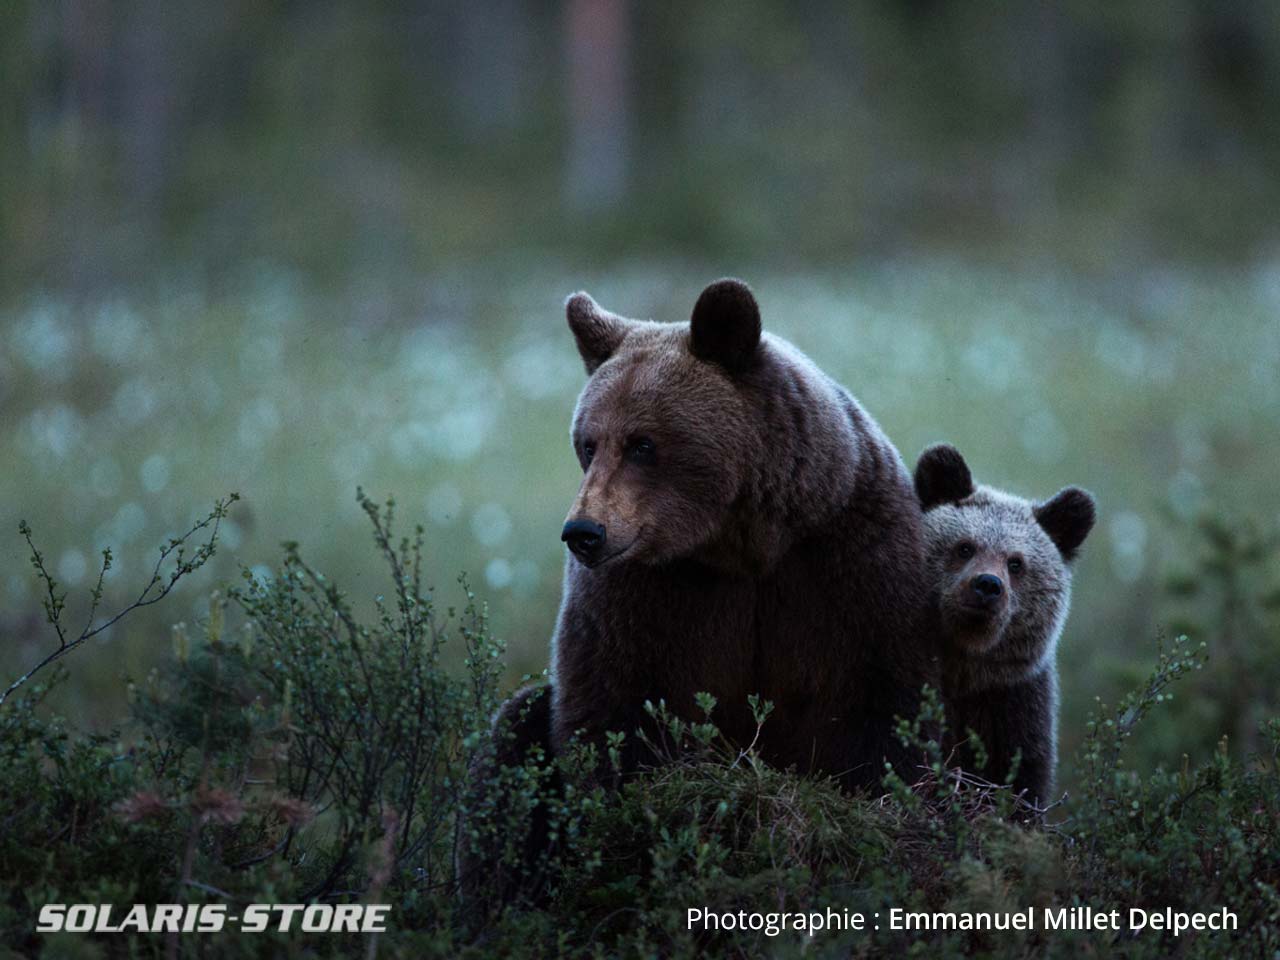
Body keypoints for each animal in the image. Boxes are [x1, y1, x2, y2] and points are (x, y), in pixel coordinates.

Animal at [911, 448, 1100, 808]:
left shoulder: (1013, 705)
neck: (964, 666)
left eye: (1015, 563)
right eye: (965, 547)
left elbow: (1021, 779)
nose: (987, 585)